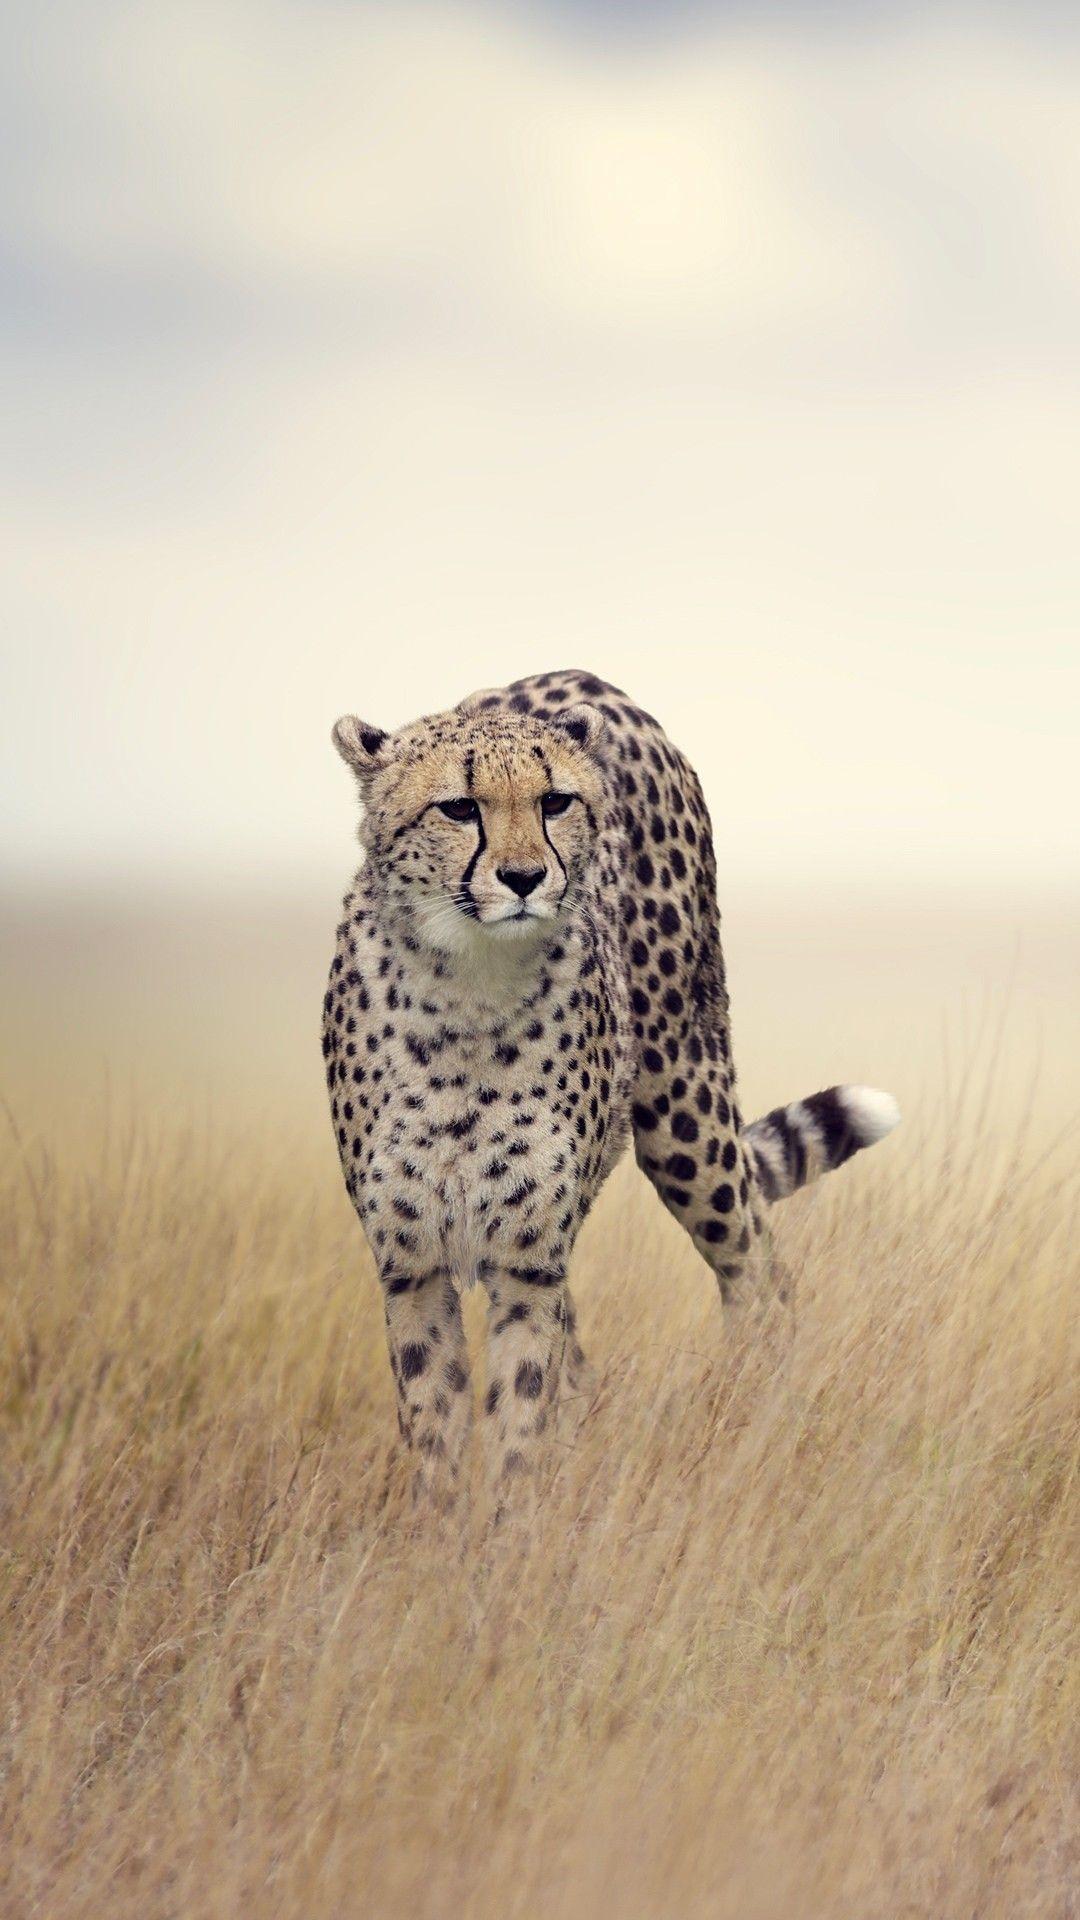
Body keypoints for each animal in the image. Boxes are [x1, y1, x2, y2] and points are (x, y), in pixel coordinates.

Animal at [322, 668, 899, 1510]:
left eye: (554, 801)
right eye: (459, 807)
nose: (525, 878)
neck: (469, 990)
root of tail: (587, 681)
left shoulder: (529, 1264)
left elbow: (521, 1413)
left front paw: (514, 1530)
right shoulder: (413, 1266)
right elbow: (438, 1430)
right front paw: (441, 1536)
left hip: (686, 1117)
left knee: (758, 1271)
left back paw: (760, 1419)